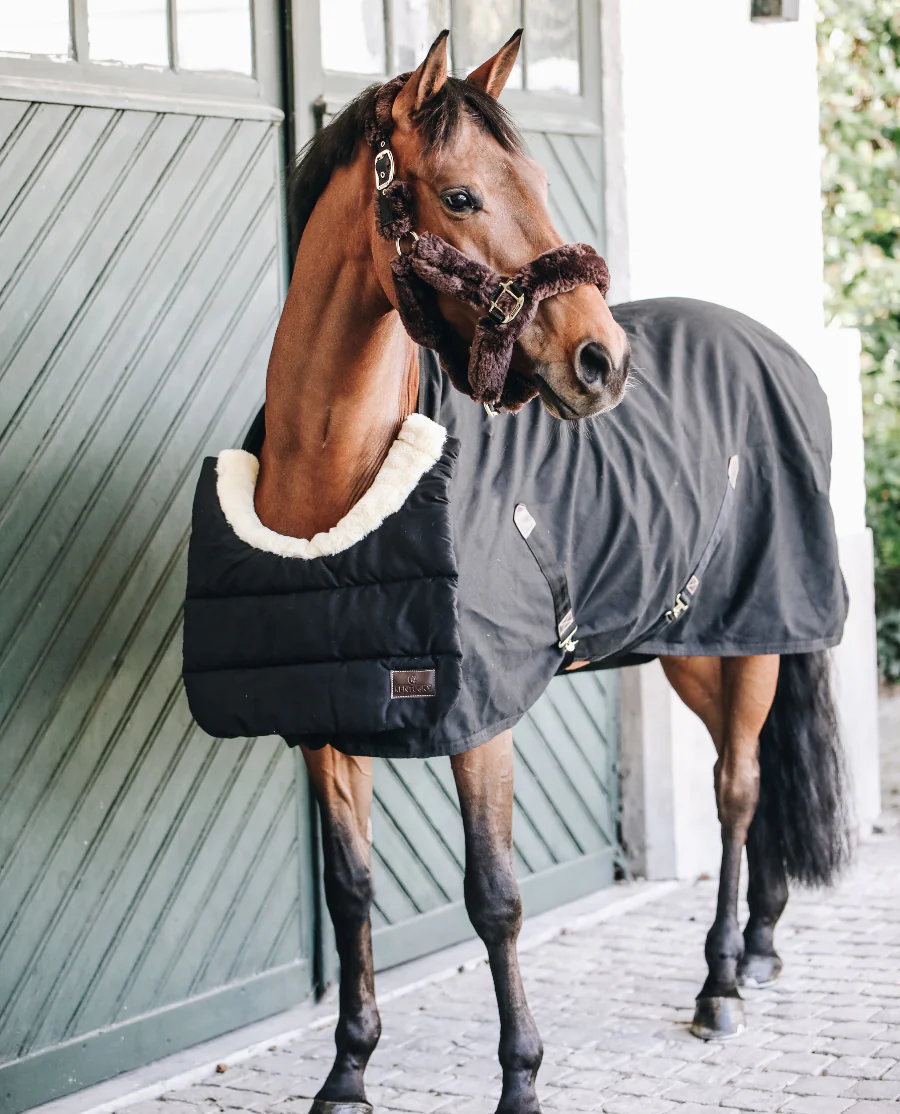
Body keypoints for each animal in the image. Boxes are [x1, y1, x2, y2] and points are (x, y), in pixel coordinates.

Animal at [182, 29, 850, 1114]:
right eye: (460, 196)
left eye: (536, 181)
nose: (601, 361)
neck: (336, 475)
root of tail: (778, 349)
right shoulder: (325, 721)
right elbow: (350, 891)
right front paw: (348, 1070)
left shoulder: (481, 721)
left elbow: (493, 897)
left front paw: (522, 1081)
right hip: (690, 644)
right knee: (745, 784)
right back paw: (755, 947)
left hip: (753, 638)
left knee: (739, 789)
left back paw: (717, 982)